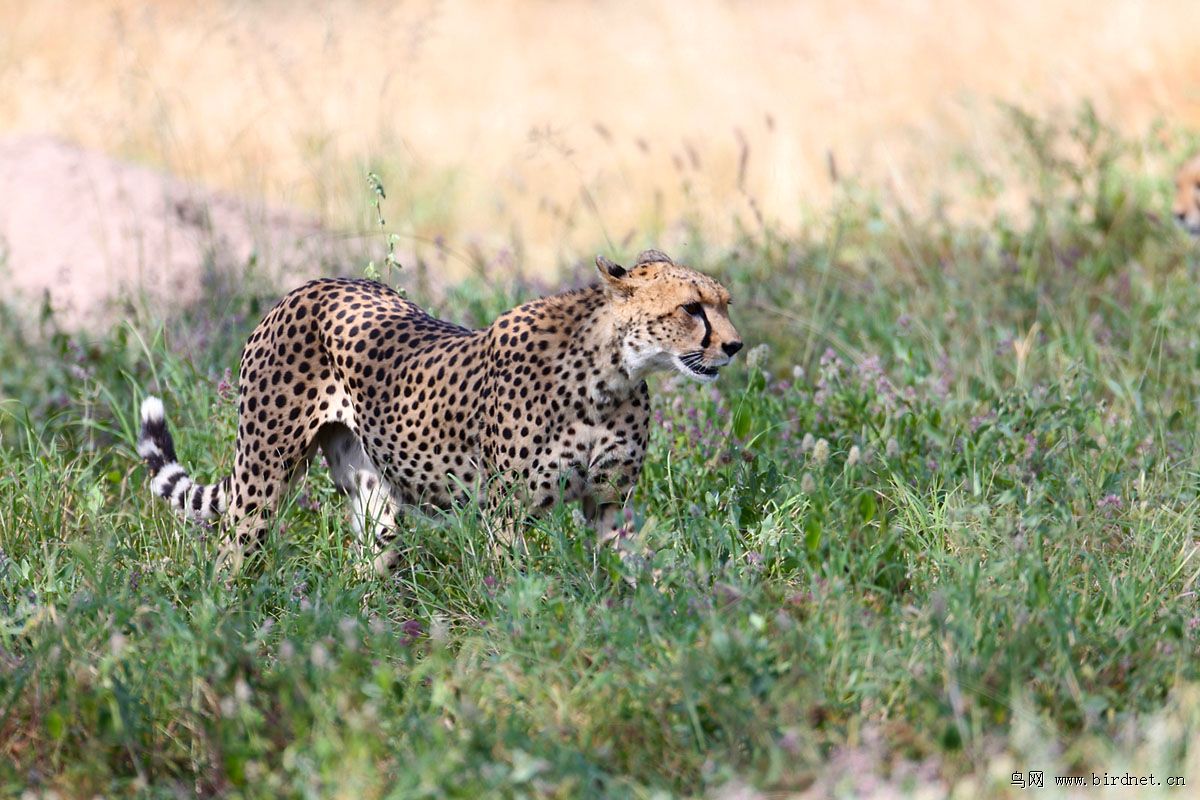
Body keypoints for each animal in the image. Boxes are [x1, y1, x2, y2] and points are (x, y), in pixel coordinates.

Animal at [140, 248, 739, 568]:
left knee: (368, 564)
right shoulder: (507, 512)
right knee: (231, 553)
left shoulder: (609, 503)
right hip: (264, 474)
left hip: (373, 495)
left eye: (725, 304)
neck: (611, 376)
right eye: (691, 308)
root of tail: (310, 285)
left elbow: (626, 571)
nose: (734, 346)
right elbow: (513, 588)